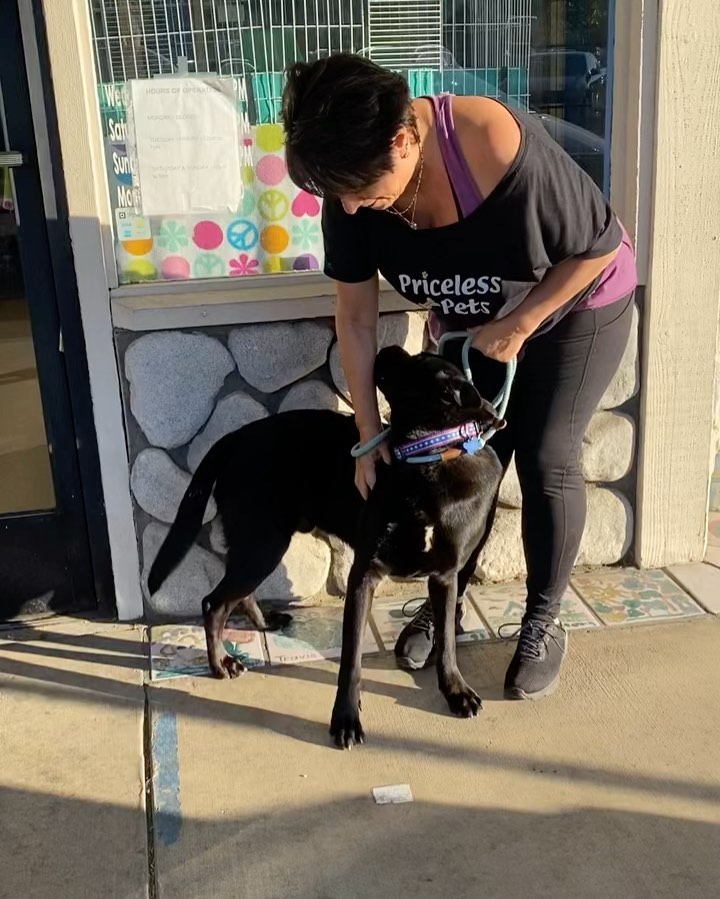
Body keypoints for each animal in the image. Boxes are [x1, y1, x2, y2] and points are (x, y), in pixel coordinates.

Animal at [149, 344, 504, 744]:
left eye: (412, 363)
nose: (387, 348)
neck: (428, 458)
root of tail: (234, 438)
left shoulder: (444, 577)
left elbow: (446, 643)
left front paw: (455, 691)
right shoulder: (363, 574)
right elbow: (351, 658)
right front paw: (346, 718)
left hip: (259, 544)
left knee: (236, 592)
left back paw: (262, 623)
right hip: (263, 544)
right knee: (214, 602)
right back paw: (220, 663)